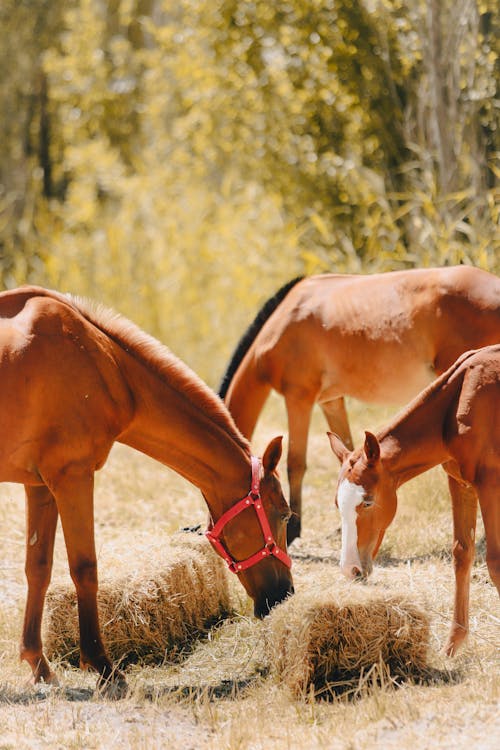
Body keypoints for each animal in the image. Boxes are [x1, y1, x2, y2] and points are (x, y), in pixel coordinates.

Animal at [0, 284, 292, 696]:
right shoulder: (73, 477)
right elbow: (84, 568)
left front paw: (39, 666)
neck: (104, 364)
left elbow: (38, 569)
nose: (284, 594)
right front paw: (104, 668)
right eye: (284, 514)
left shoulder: (39, 485)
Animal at [219, 268, 500, 544]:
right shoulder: (330, 402)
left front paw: (294, 530)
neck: (285, 319)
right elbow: (347, 449)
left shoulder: (299, 397)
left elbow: (295, 463)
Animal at [330, 346, 498, 656]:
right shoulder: (460, 483)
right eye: (338, 504)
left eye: (368, 502)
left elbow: (494, 561)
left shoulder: (491, 483)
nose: (350, 569)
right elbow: (462, 553)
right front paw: (453, 646)